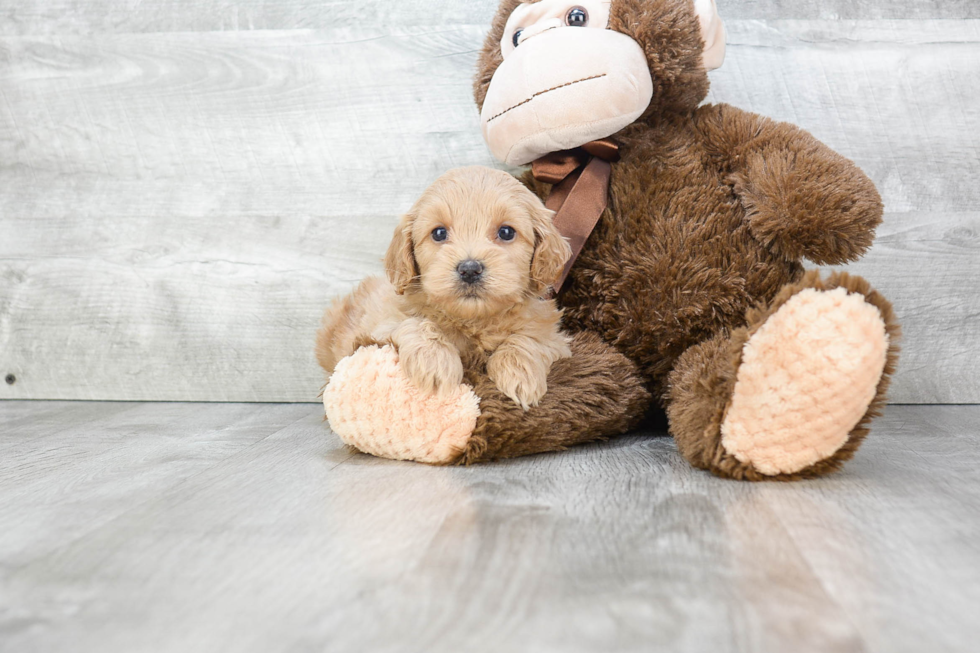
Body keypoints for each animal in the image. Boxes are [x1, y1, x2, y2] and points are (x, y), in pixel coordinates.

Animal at [314, 164, 576, 408]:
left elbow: (530, 337)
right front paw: (435, 364)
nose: (469, 269)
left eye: (506, 232)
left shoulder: (554, 335)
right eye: (439, 233)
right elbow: (417, 323)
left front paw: (519, 373)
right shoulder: (381, 324)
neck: (473, 321)